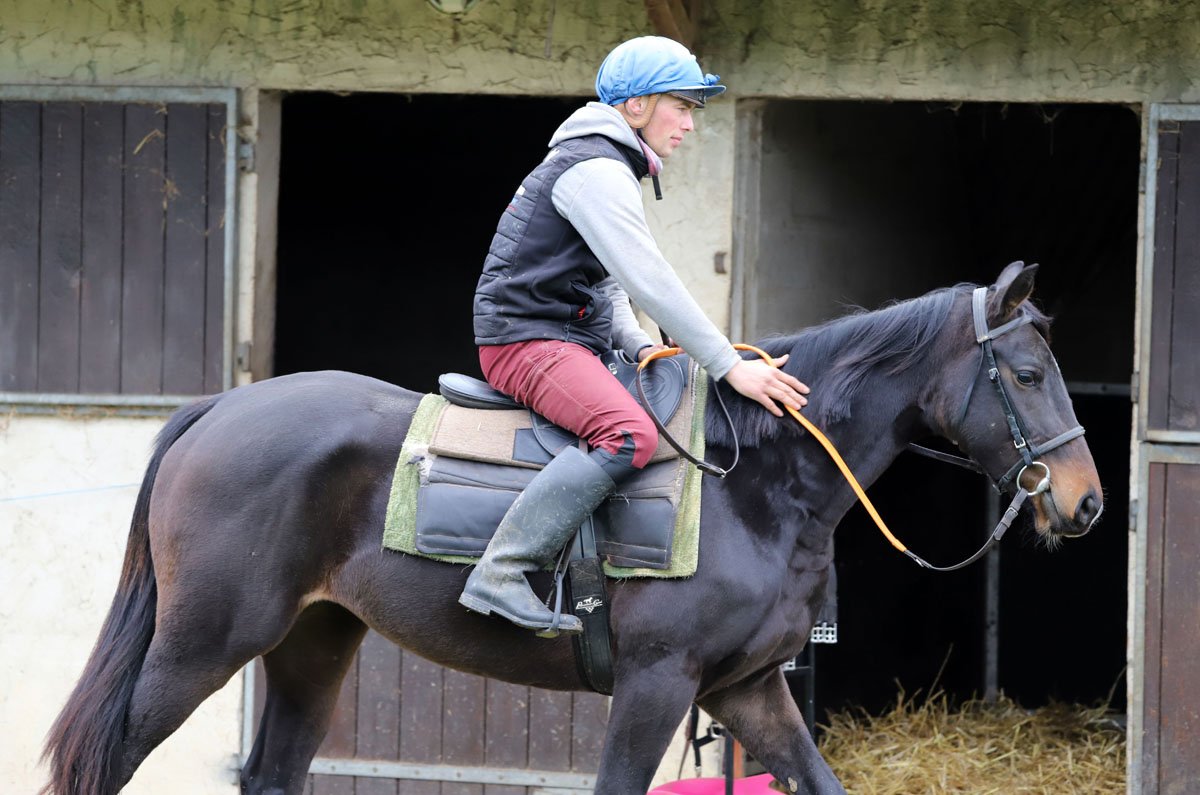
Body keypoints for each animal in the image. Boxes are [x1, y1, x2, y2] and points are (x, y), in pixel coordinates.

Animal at [42, 261, 1103, 795]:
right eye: (1027, 373)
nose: (1085, 500)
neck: (757, 479)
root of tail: (221, 408)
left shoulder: (750, 689)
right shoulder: (656, 685)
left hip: (313, 643)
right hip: (204, 642)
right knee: (115, 754)